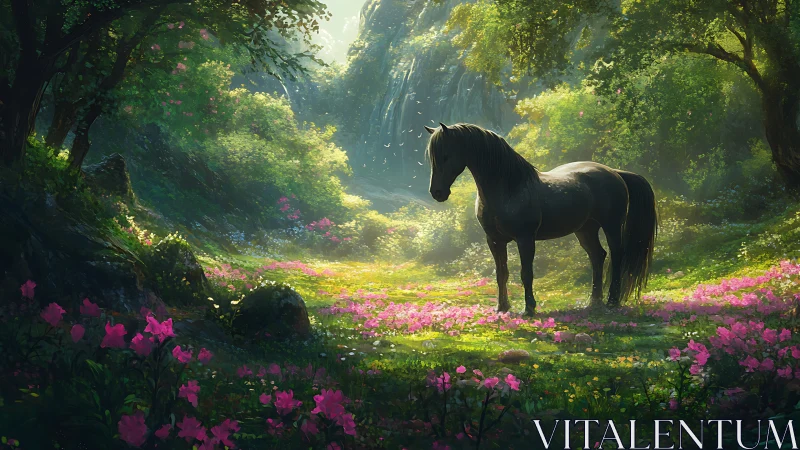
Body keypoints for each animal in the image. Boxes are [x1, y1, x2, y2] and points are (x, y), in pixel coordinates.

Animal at [424, 123, 657, 316]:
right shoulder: (495, 241)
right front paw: (502, 307)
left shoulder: (525, 239)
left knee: (617, 256)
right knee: (597, 256)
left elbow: (526, 273)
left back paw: (612, 301)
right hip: (585, 229)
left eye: (446, 155)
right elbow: (501, 274)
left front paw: (529, 308)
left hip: (612, 226)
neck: (509, 188)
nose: (437, 192)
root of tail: (614, 172)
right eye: (432, 157)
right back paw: (594, 302)